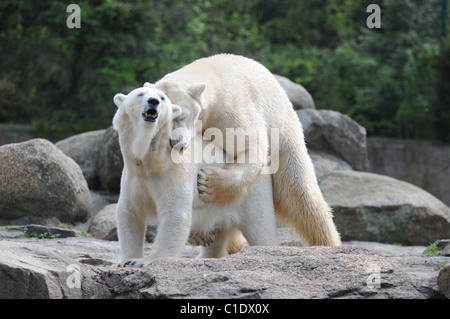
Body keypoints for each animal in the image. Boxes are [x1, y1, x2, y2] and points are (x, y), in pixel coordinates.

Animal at [111, 85, 278, 268]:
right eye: (140, 94)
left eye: (162, 98)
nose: (153, 101)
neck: (155, 159)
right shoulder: (134, 175)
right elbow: (129, 212)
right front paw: (124, 261)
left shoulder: (175, 171)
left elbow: (175, 214)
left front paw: (143, 261)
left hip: (248, 194)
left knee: (260, 227)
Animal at [149, 53, 342, 246]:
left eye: (182, 116)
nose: (175, 142)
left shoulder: (230, 109)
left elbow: (249, 148)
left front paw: (208, 182)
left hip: (284, 135)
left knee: (299, 192)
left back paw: (327, 241)